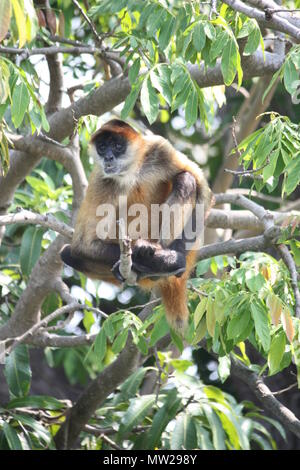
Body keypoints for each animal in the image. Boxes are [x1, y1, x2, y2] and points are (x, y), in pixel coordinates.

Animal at [59, 118, 212, 330]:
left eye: (117, 146)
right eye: (102, 147)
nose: (108, 158)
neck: (131, 171)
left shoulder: (159, 148)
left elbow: (203, 189)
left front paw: (172, 259)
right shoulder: (100, 178)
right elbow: (82, 245)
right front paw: (148, 258)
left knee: (186, 179)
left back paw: (161, 258)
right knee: (66, 253)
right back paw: (142, 266)